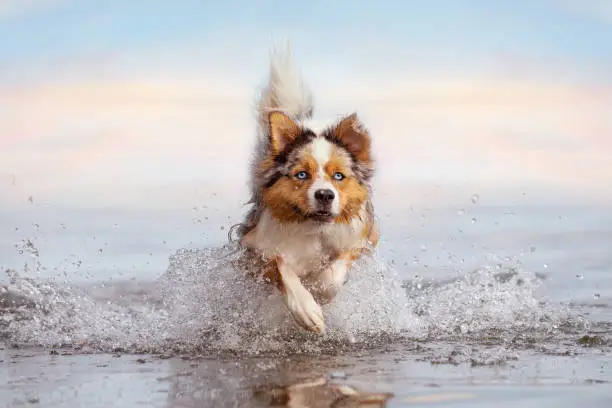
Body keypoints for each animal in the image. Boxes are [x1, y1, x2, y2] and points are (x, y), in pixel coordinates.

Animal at [233, 44, 378, 334]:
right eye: (301, 174)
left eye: (338, 176)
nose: (324, 195)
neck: (313, 229)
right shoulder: (255, 247)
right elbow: (282, 267)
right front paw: (308, 310)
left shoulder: (360, 238)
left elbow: (333, 273)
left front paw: (320, 289)